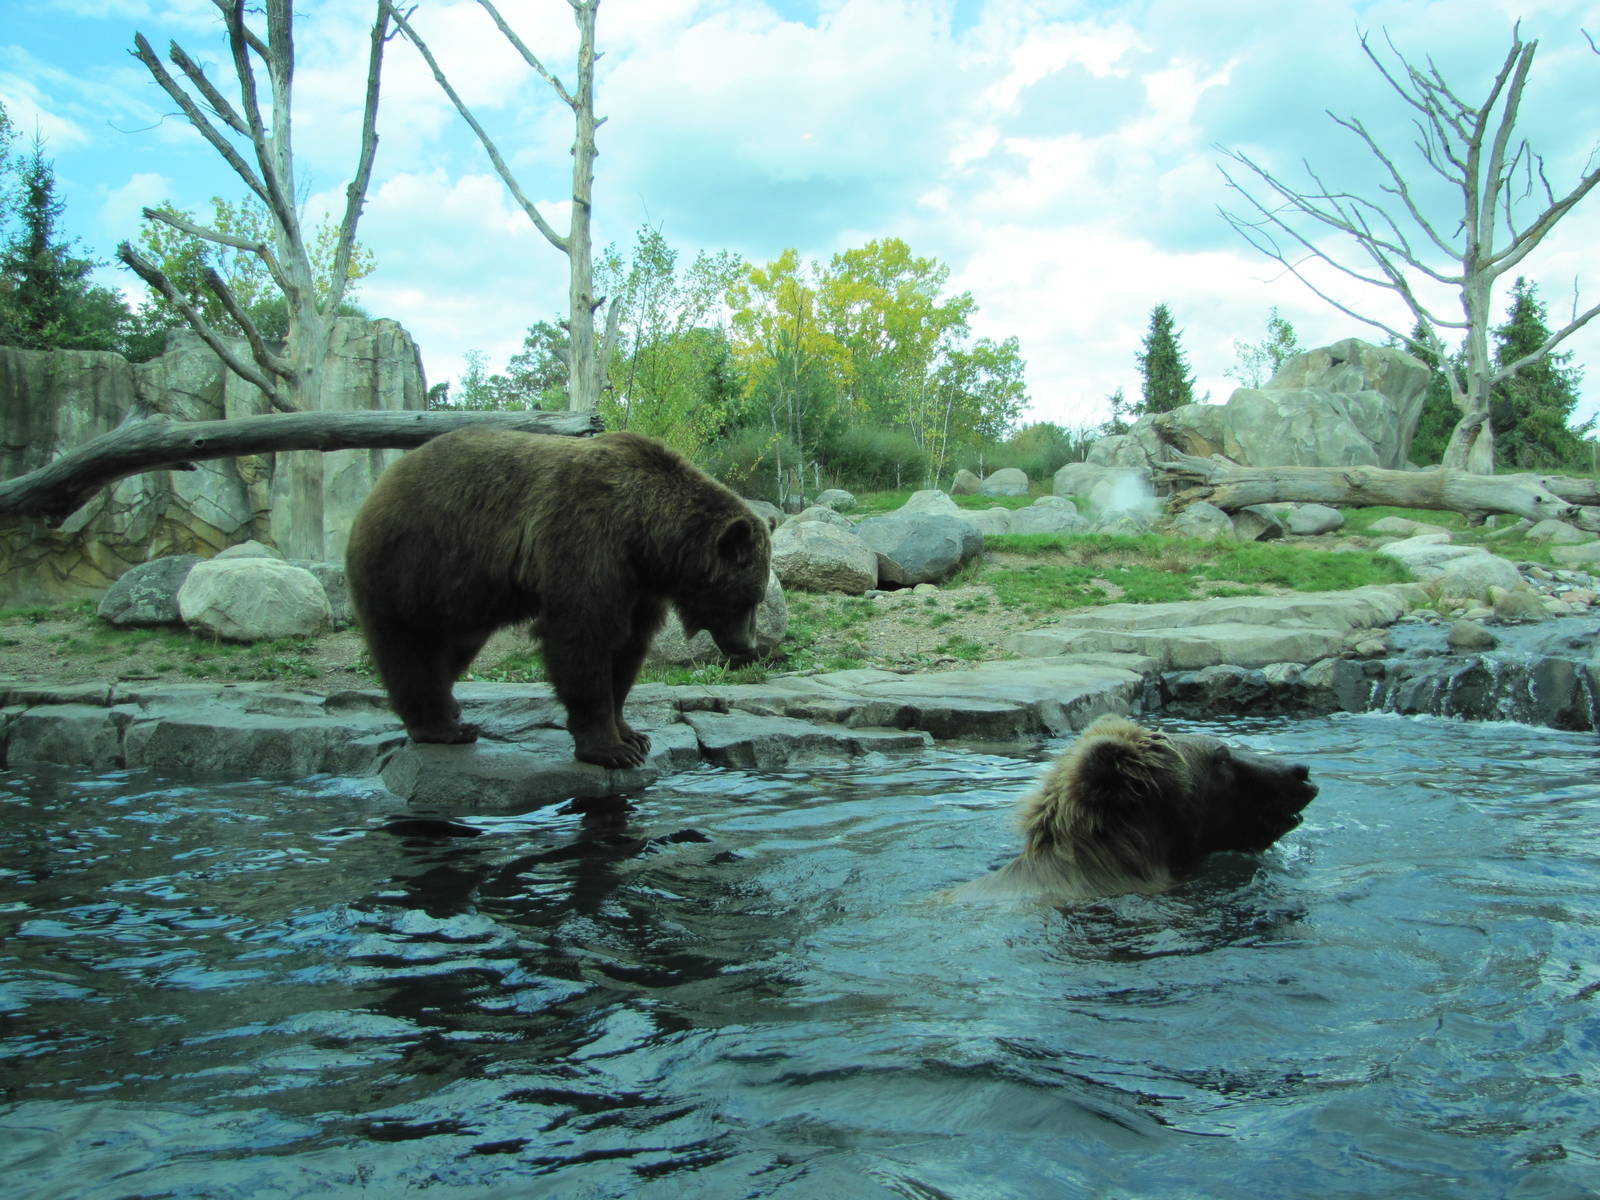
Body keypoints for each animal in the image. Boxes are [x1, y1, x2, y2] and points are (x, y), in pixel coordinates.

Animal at [345, 427, 772, 768]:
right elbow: (582, 637)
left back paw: (449, 710)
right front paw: (611, 749)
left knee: (453, 646)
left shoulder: (636, 583)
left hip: (458, 593)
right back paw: (440, 726)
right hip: (410, 566)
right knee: (408, 649)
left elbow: (628, 647)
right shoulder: (585, 540)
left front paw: (632, 733)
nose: (746, 645)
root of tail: (379, 487)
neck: (644, 535)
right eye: (747, 598)